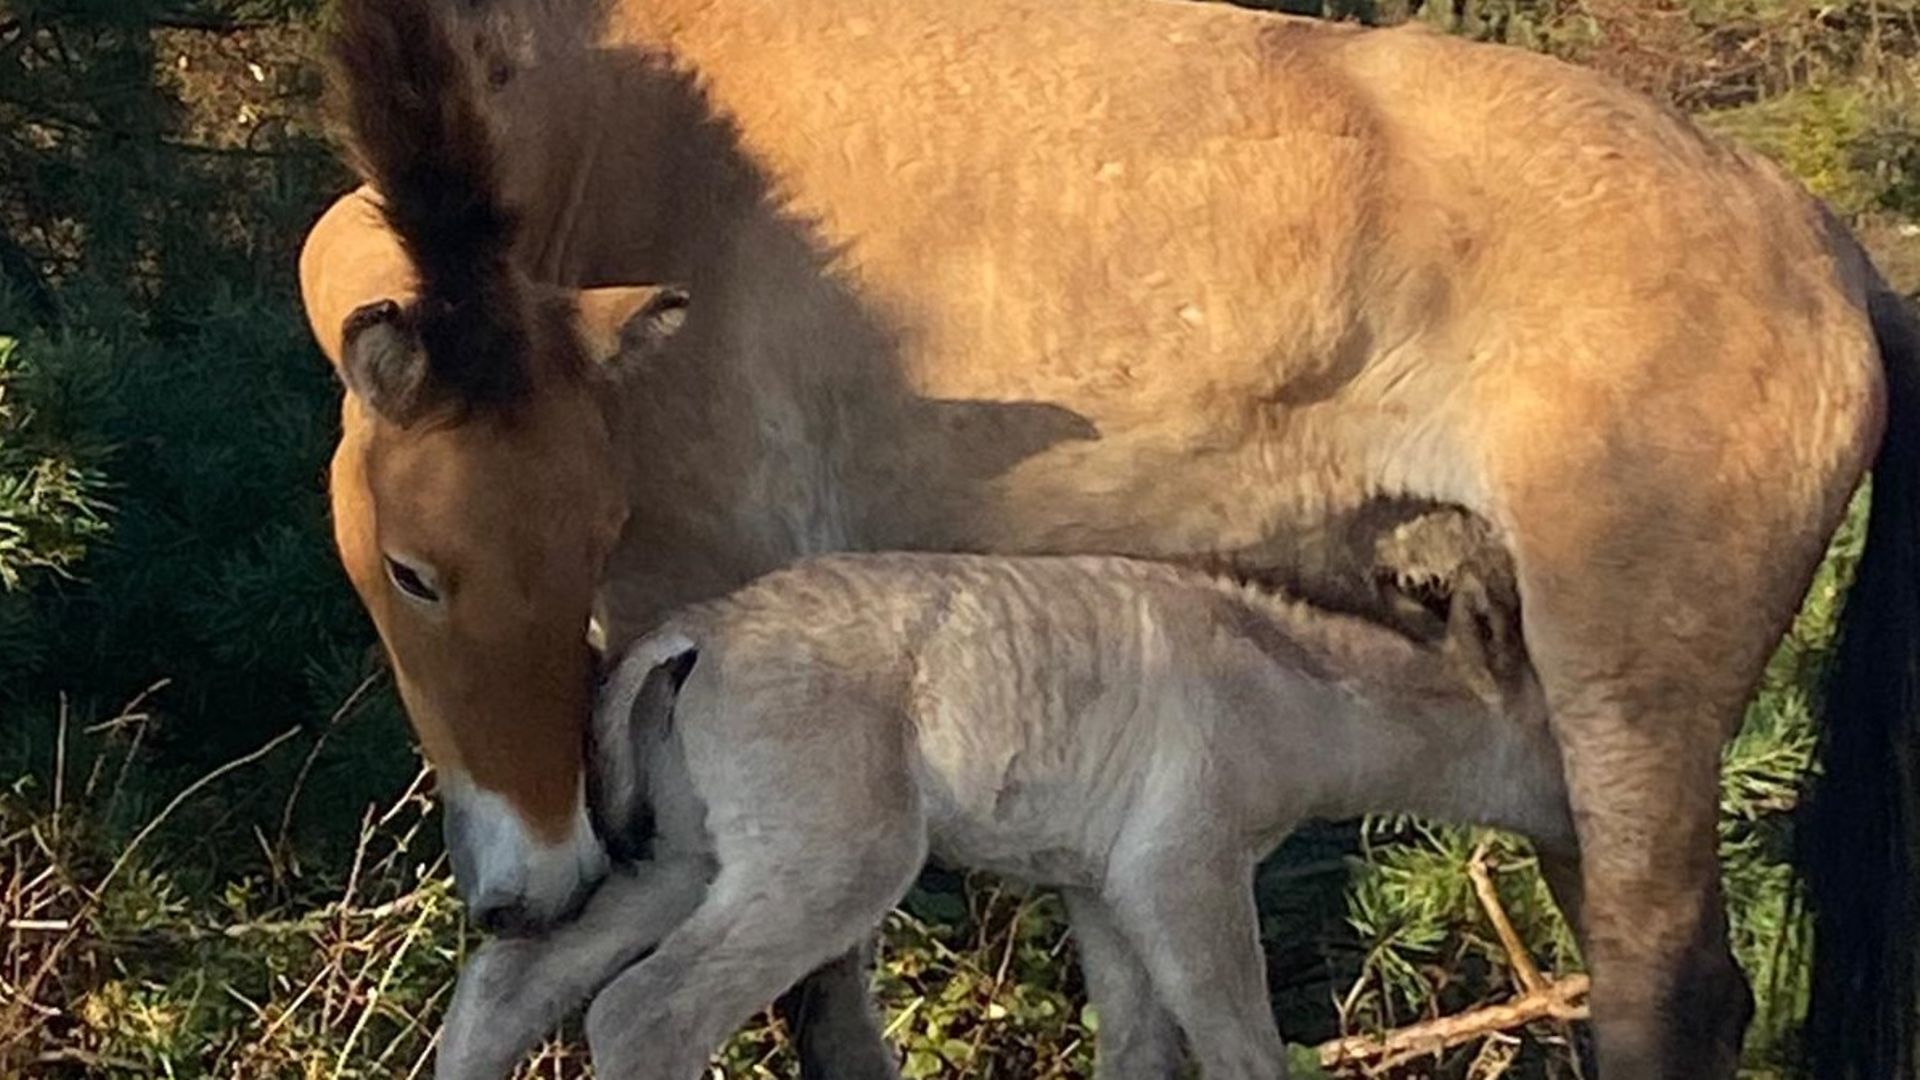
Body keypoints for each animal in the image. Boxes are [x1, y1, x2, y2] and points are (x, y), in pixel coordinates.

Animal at [435, 547, 1559, 1080]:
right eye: (1556, 724)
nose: (1580, 815)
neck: (1294, 698)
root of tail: (692, 635)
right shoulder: (1183, 863)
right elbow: (1241, 1045)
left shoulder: (1098, 885)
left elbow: (1138, 1050)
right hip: (833, 855)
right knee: (644, 1012)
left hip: (685, 857)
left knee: (509, 983)